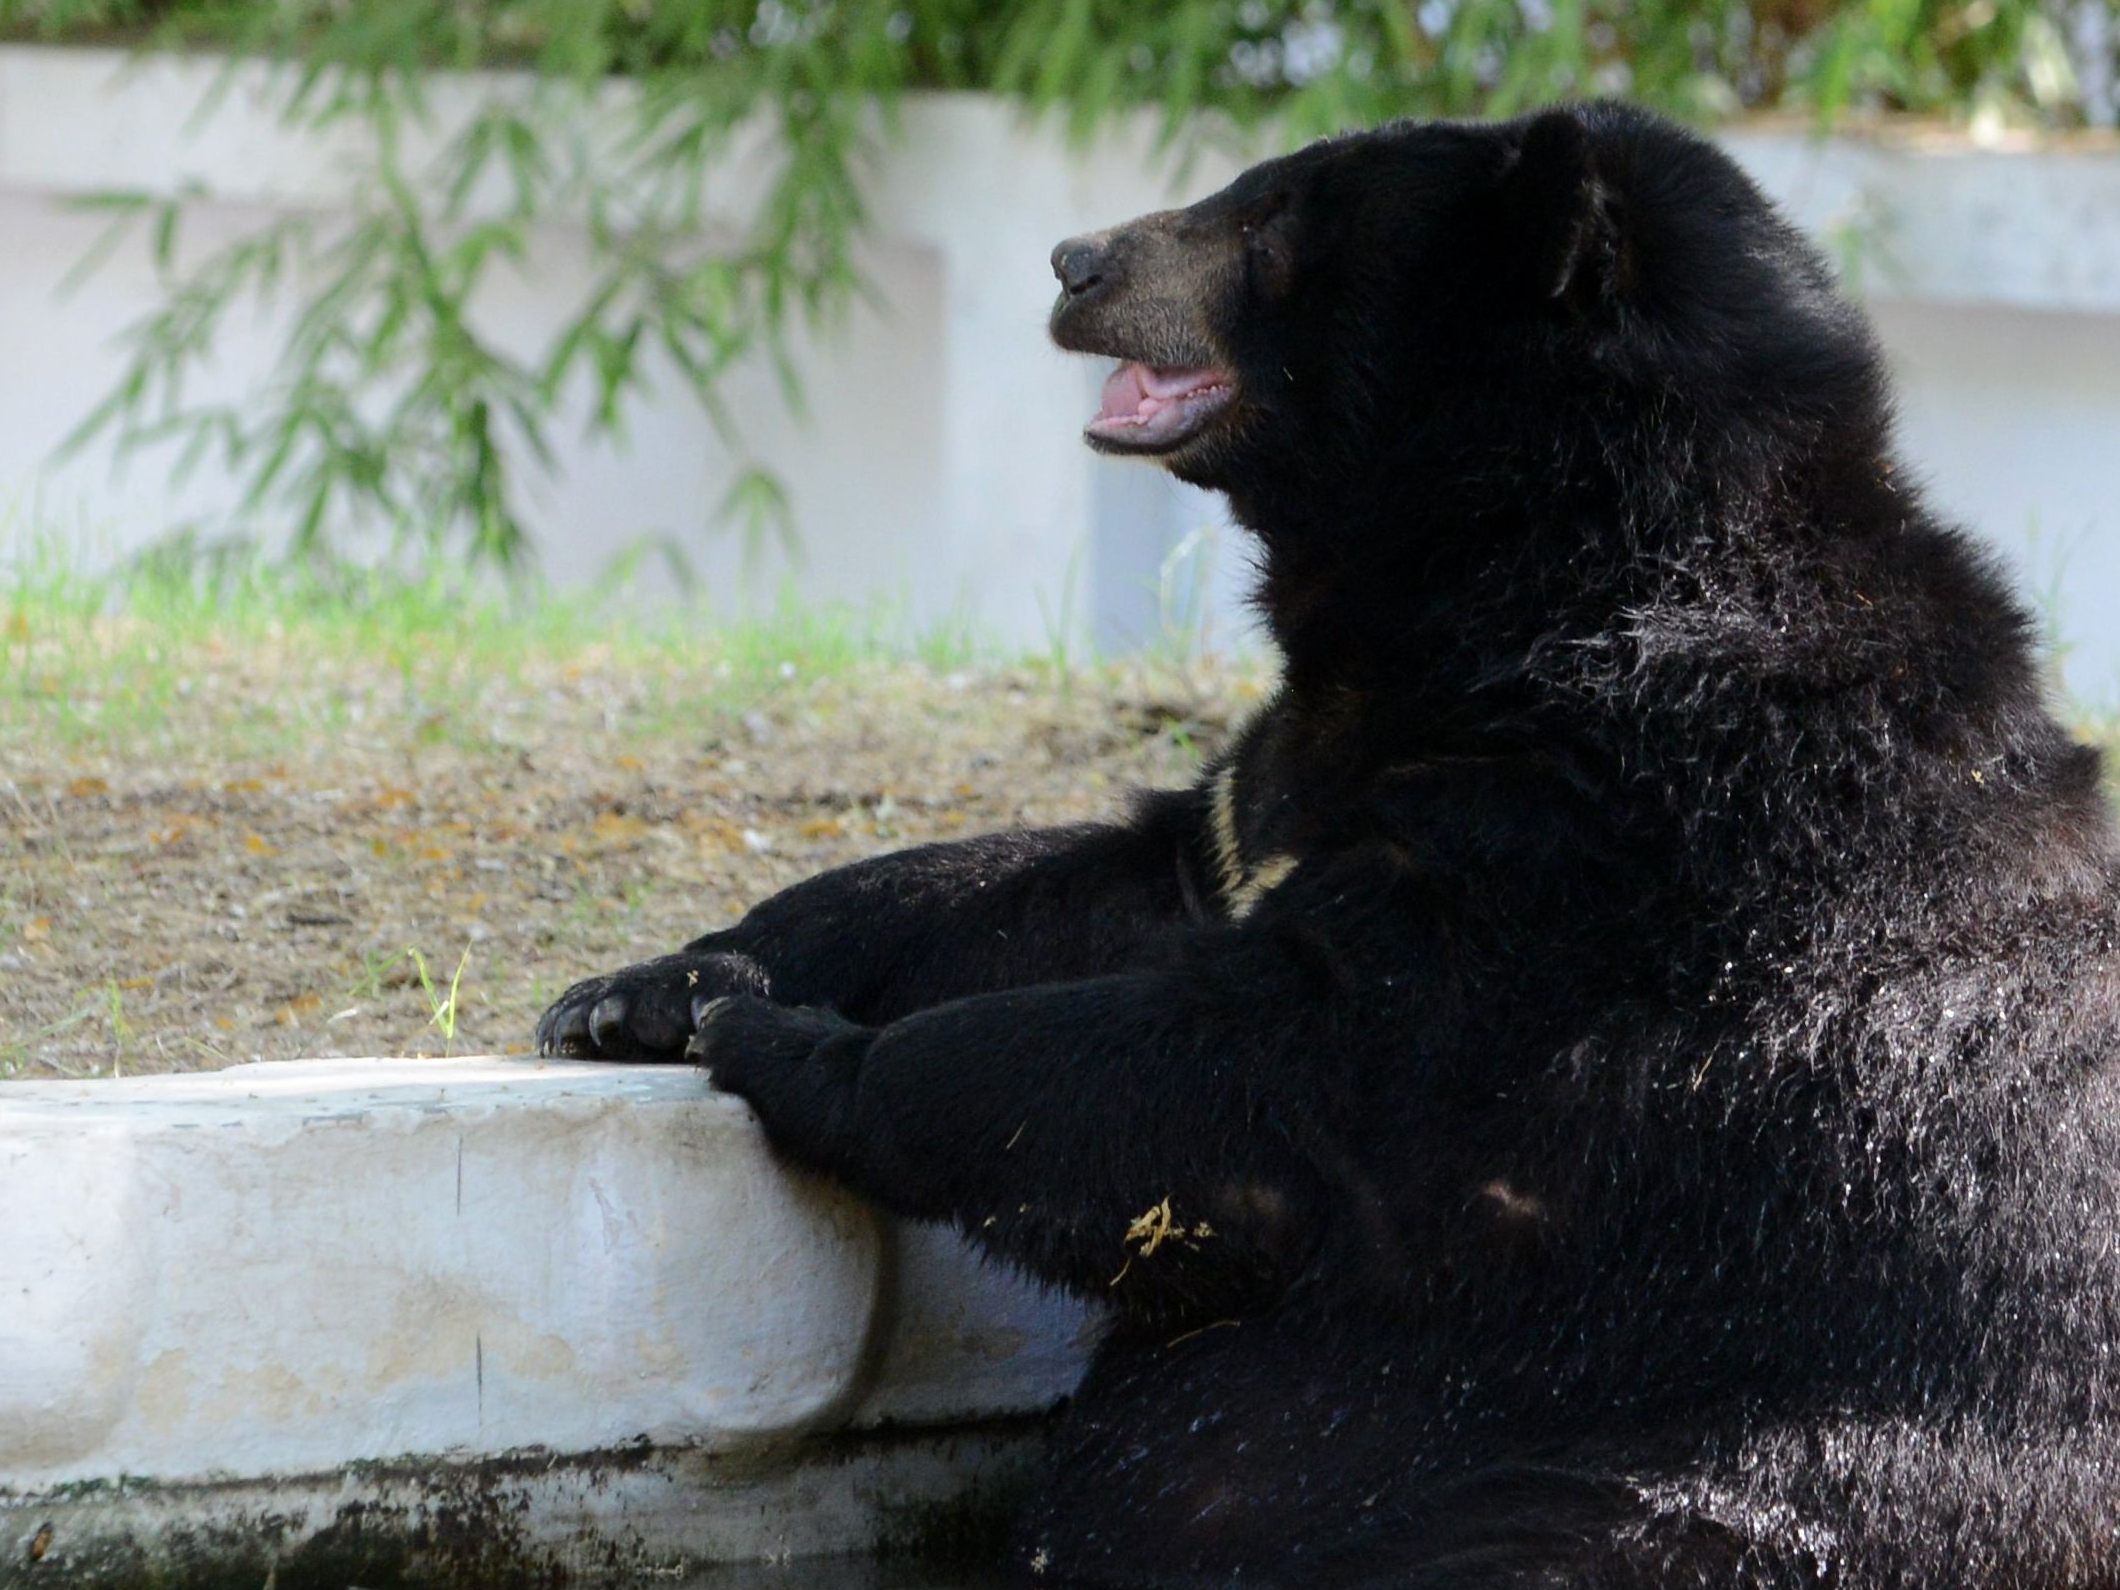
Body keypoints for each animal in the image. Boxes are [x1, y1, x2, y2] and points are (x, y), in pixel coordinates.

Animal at [538, 105, 2120, 1585]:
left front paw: (795, 1046)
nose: (1075, 263)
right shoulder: (1287, 795)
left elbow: (1246, 1078)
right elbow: (1074, 888)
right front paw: (657, 986)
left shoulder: (1619, 846)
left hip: (1778, 1474)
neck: (1515, 587)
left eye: (1271, 222)